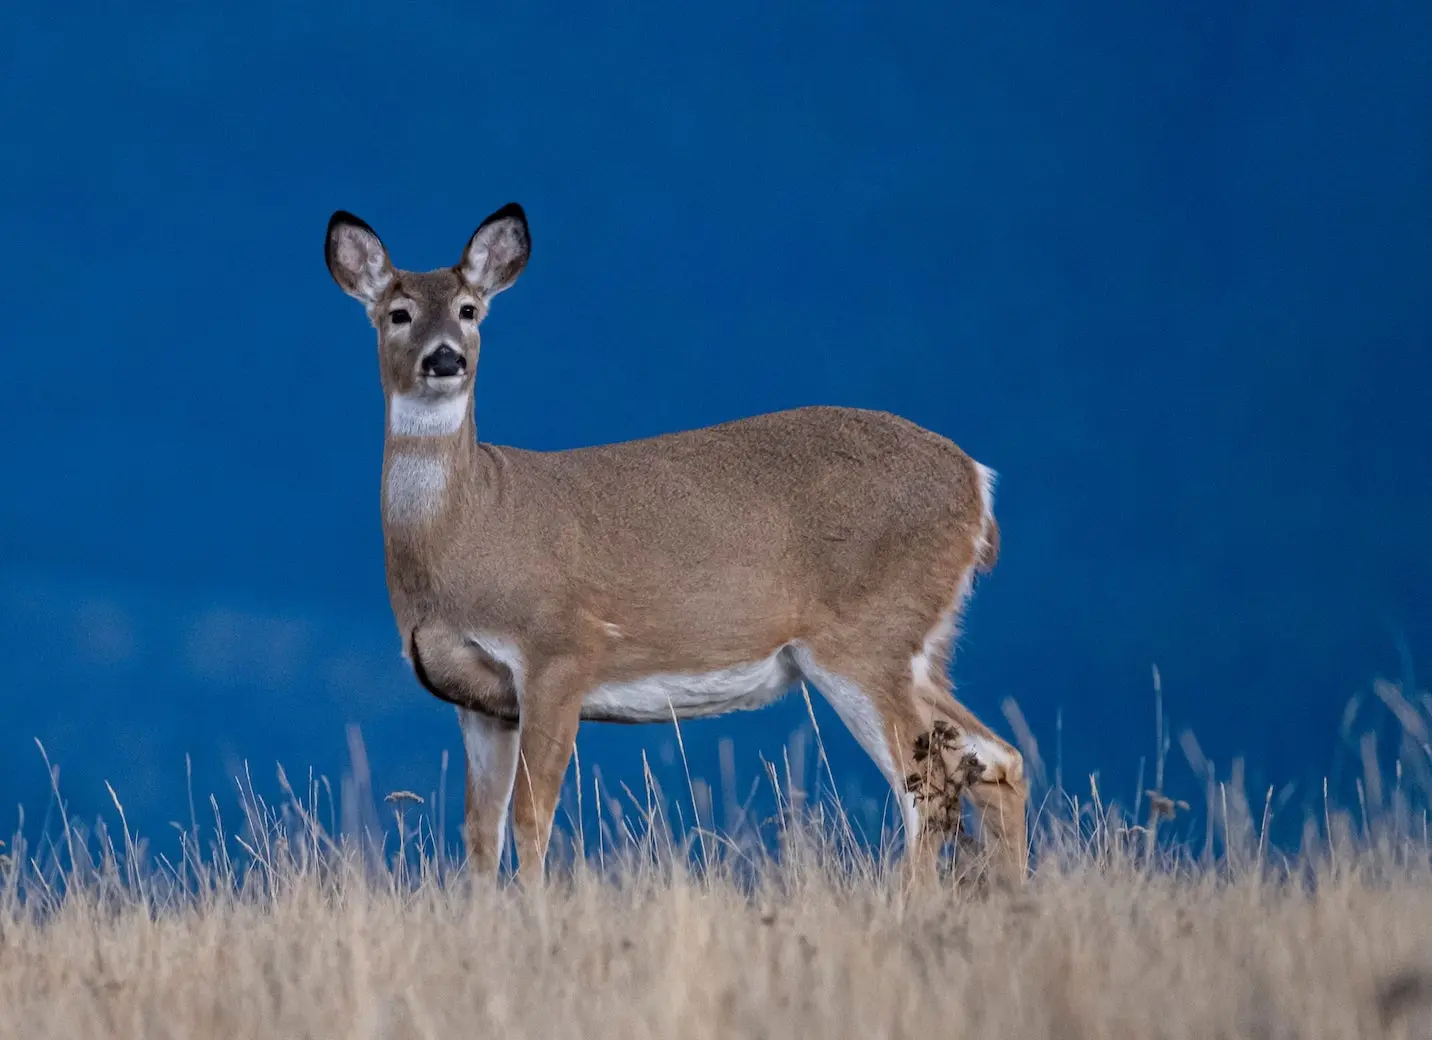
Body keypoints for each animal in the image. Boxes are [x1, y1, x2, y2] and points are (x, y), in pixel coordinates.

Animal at [323, 203, 1025, 888]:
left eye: (470, 310)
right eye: (398, 313)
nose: (445, 358)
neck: (466, 530)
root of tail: (978, 485)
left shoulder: (560, 651)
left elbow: (530, 817)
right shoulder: (480, 702)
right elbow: (478, 833)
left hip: (866, 637)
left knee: (930, 785)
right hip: (918, 646)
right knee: (998, 759)